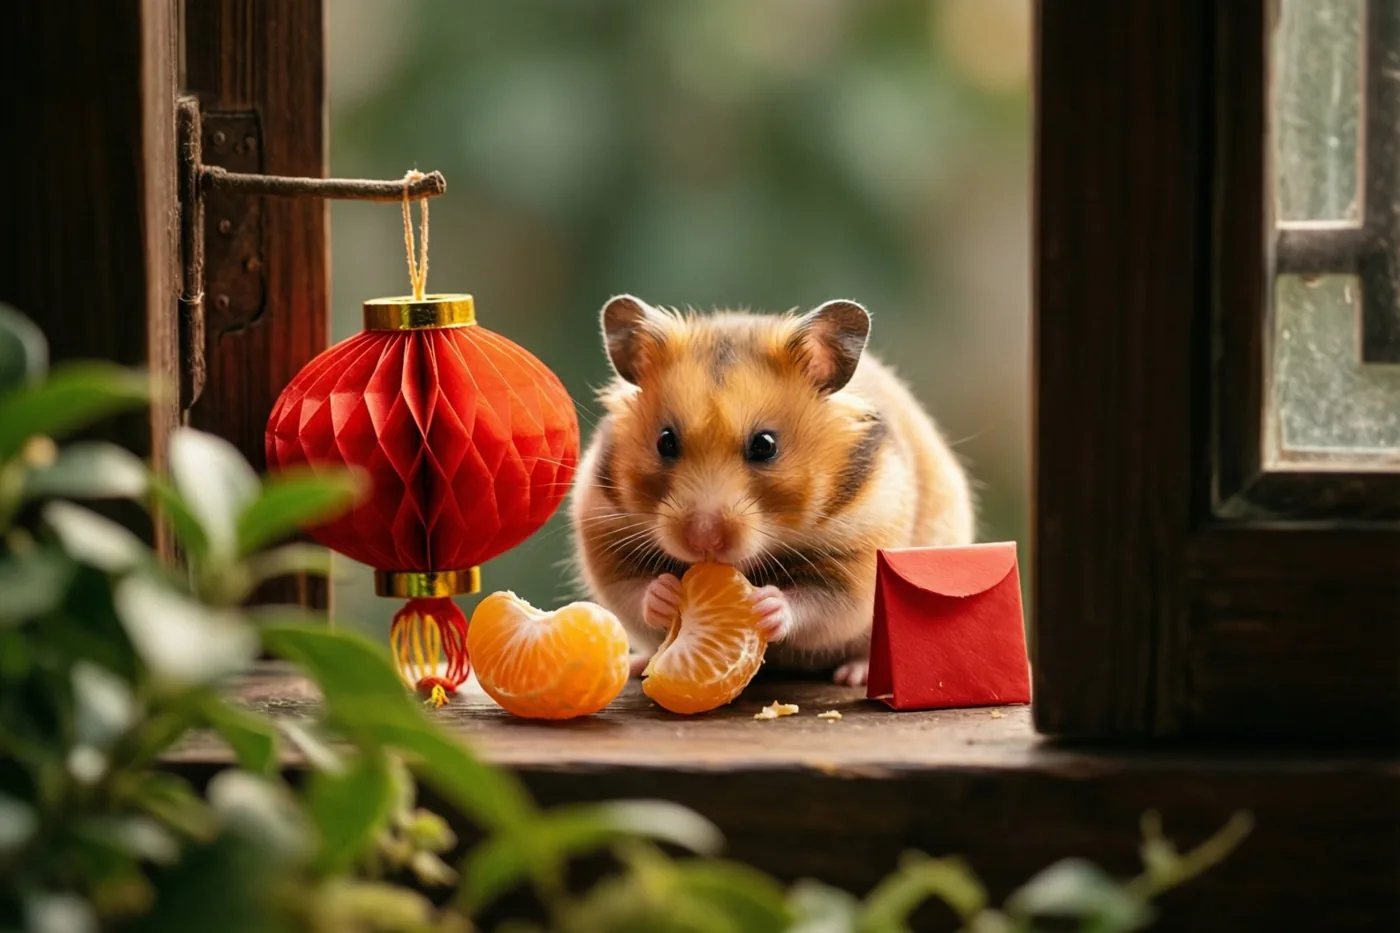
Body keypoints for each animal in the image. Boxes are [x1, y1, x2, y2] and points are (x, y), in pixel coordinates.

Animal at [568, 295, 976, 687]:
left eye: (765, 446)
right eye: (665, 442)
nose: (703, 540)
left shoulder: (858, 556)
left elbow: (821, 603)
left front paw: (765, 605)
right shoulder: (605, 532)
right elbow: (632, 590)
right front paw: (666, 594)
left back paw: (854, 674)